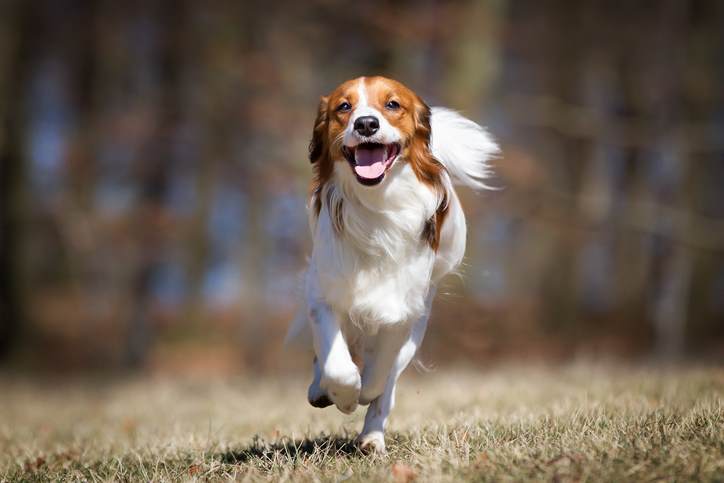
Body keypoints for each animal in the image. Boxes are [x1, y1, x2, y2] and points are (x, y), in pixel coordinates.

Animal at [288, 75, 498, 454]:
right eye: (344, 107)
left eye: (392, 105)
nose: (366, 124)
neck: (376, 205)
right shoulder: (322, 294)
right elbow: (337, 365)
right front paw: (342, 395)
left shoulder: (402, 310)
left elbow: (379, 377)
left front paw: (363, 393)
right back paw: (321, 391)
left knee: (387, 388)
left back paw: (371, 437)